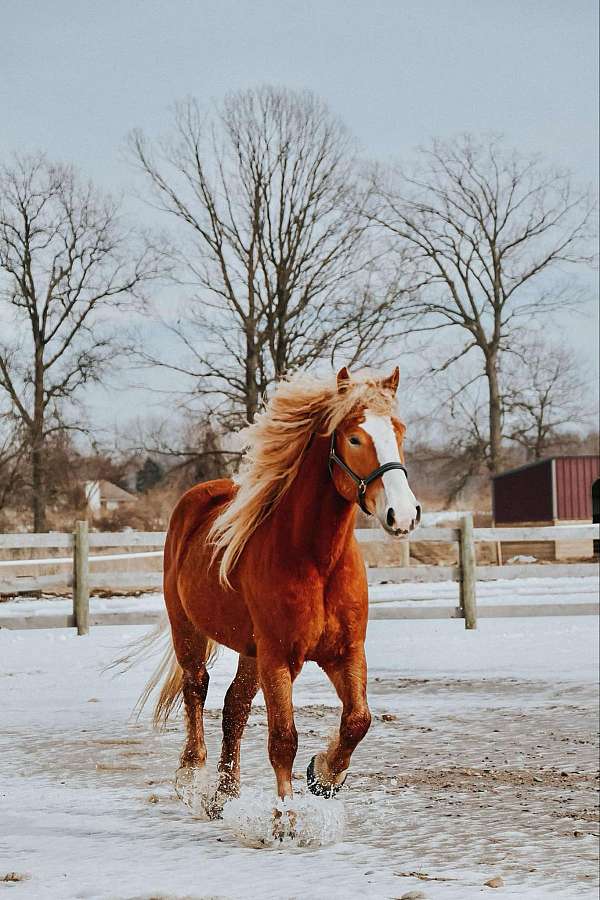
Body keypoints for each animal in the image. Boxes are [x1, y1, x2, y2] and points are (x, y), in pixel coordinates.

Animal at [145, 366, 420, 808]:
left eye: (399, 430)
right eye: (354, 437)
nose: (404, 514)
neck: (317, 560)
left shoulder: (345, 652)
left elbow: (358, 720)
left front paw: (324, 775)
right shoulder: (279, 658)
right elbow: (283, 740)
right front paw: (286, 815)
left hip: (250, 650)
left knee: (234, 707)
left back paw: (225, 795)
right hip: (187, 629)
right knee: (196, 688)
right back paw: (193, 776)